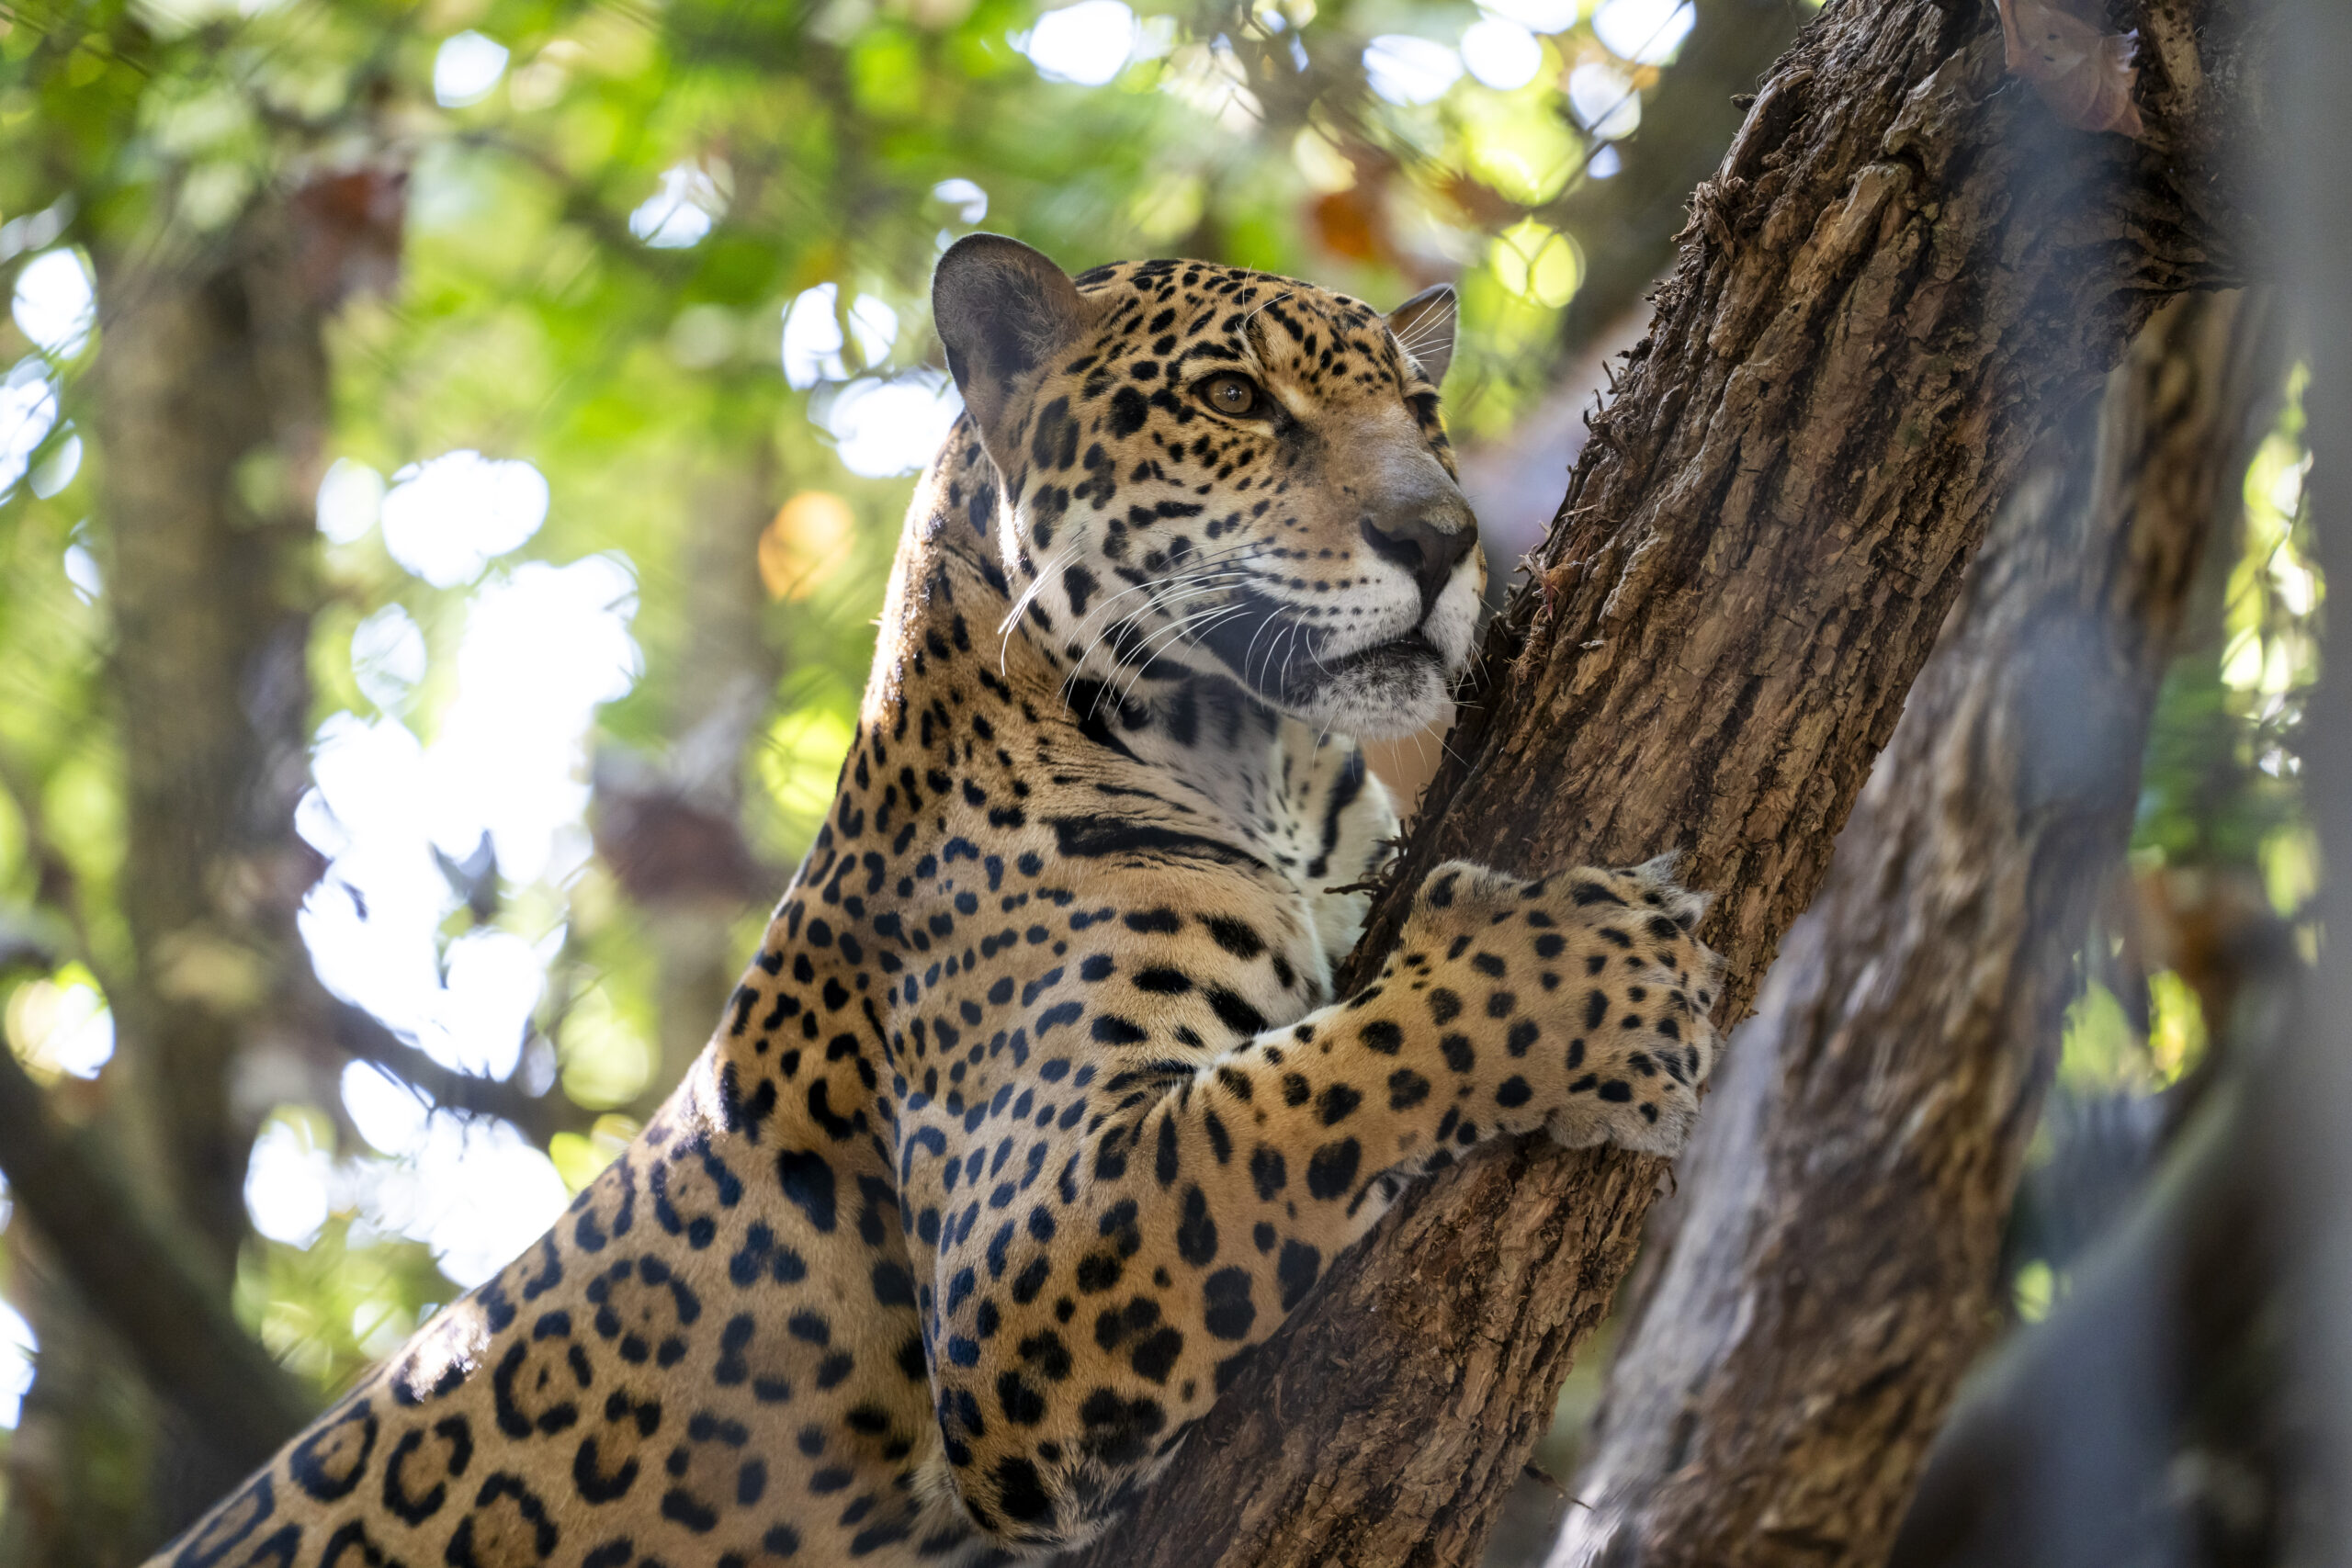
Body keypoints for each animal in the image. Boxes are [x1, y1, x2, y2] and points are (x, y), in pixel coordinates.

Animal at [154, 235, 1722, 1568]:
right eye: (1232, 399)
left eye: (1422, 412)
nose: (1442, 536)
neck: (1256, 762)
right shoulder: (1025, 1254)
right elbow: (1318, 1083)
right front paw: (1592, 968)